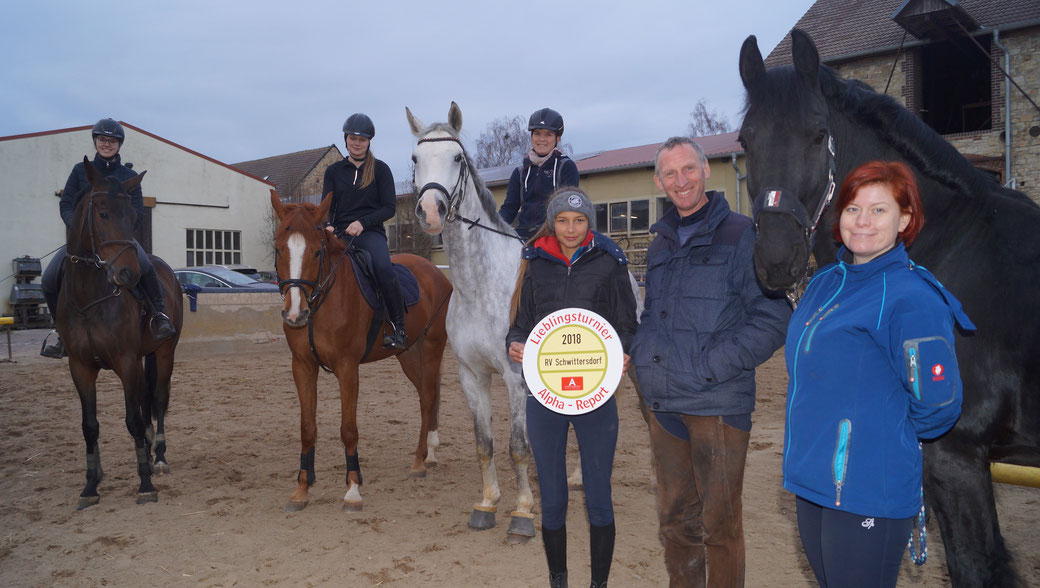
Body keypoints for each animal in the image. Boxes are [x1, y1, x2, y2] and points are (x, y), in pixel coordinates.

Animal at [268, 191, 451, 509]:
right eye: (279, 250)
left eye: (317, 252)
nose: (295, 314)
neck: (320, 305)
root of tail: (436, 274)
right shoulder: (302, 366)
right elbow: (307, 428)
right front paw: (302, 488)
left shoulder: (347, 367)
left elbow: (348, 429)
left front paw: (353, 488)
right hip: (408, 354)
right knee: (425, 397)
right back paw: (428, 454)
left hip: (431, 347)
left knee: (428, 398)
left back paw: (419, 461)